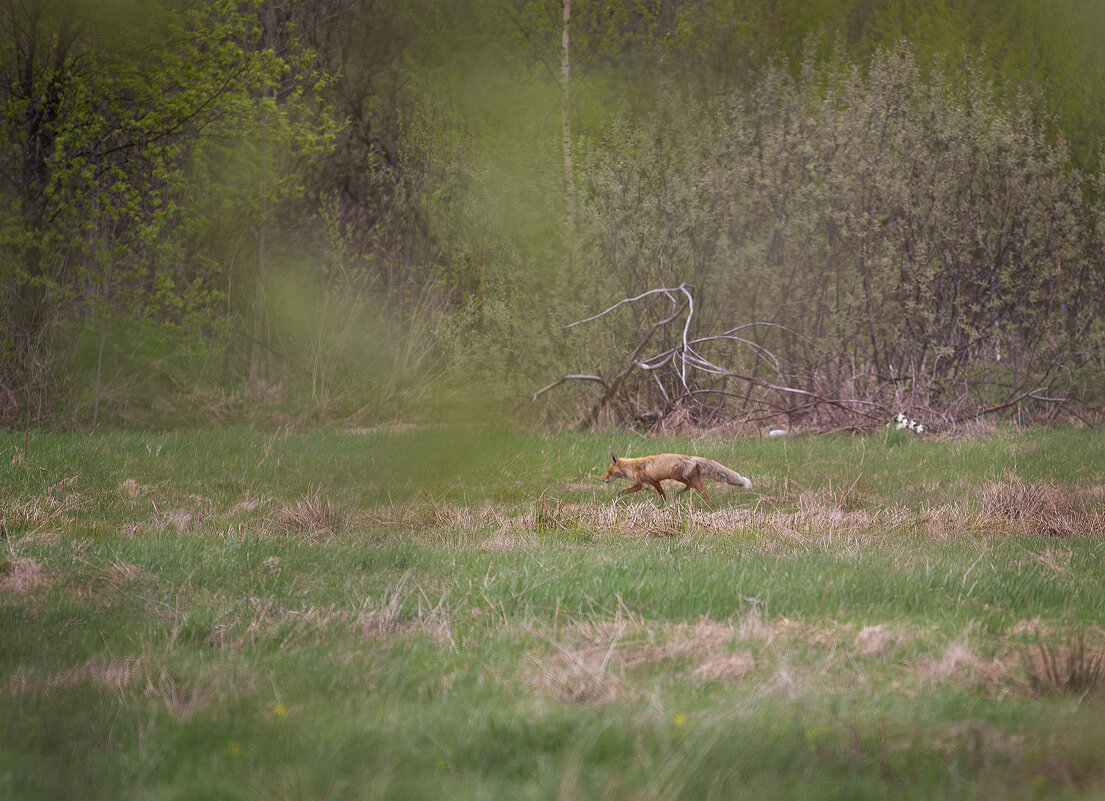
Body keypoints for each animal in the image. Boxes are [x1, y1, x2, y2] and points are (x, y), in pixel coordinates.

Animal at [605, 452, 751, 497]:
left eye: (609, 472)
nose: (603, 480)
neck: (633, 467)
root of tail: (691, 457)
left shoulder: (654, 481)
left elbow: (662, 495)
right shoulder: (640, 484)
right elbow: (623, 491)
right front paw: (617, 497)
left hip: (681, 477)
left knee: (700, 491)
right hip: (686, 478)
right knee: (692, 487)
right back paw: (679, 494)